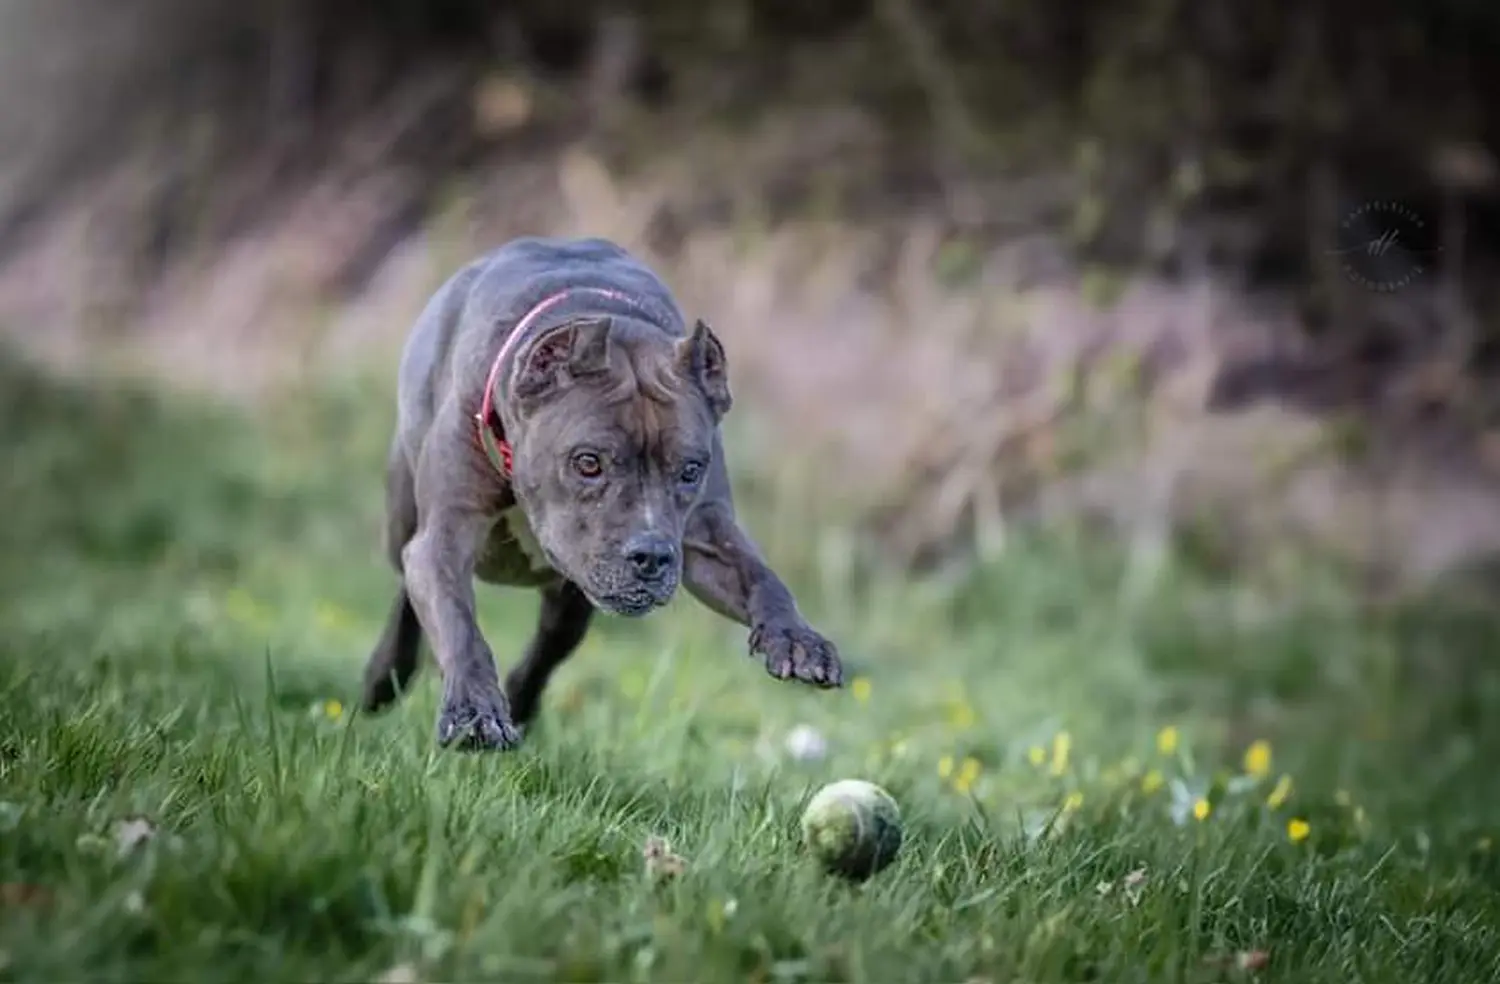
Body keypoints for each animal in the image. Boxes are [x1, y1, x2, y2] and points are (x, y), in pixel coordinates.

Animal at [355, 234, 840, 750]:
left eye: (690, 470)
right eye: (588, 462)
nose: (652, 557)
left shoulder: (707, 535)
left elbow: (758, 575)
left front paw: (797, 639)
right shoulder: (445, 535)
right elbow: (458, 623)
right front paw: (474, 711)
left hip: (574, 595)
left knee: (550, 645)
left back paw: (520, 704)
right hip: (403, 518)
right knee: (410, 591)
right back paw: (385, 678)